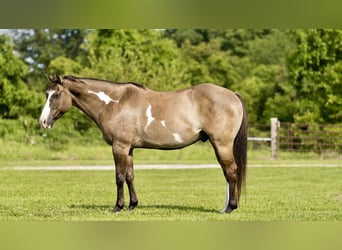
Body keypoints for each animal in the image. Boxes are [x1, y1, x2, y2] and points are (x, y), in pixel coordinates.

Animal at [39, 73, 248, 213]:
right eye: (46, 94)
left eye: (56, 95)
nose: (43, 122)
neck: (115, 103)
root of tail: (233, 95)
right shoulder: (129, 148)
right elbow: (130, 176)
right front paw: (132, 205)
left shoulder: (119, 146)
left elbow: (119, 177)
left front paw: (118, 206)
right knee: (228, 173)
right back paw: (226, 207)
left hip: (221, 144)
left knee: (231, 171)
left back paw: (230, 208)